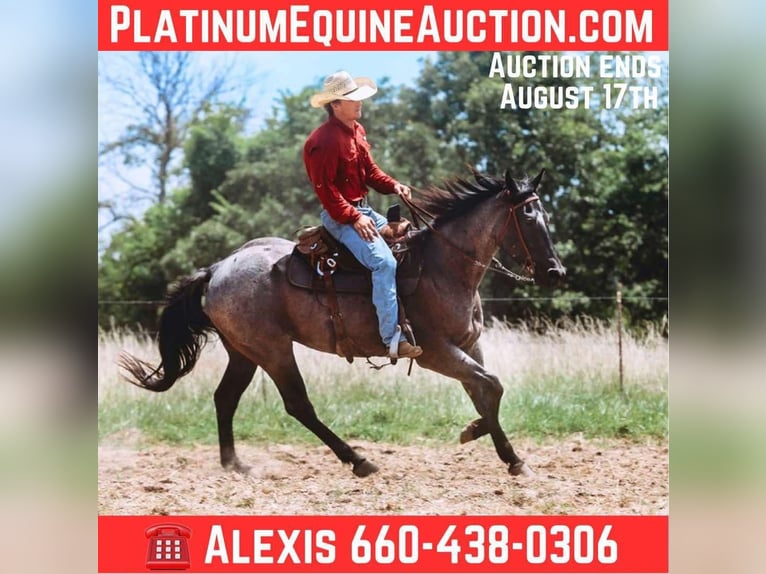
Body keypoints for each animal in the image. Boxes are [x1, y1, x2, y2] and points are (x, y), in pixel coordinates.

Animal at [120, 168, 565, 478]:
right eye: (528, 218)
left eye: (545, 214)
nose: (556, 272)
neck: (443, 267)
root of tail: (217, 268)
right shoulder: (435, 352)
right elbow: (492, 385)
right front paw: (487, 441)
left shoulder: (469, 346)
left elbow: (483, 391)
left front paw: (502, 450)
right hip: (273, 350)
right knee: (297, 404)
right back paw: (358, 460)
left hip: (243, 352)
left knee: (225, 398)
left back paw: (236, 465)